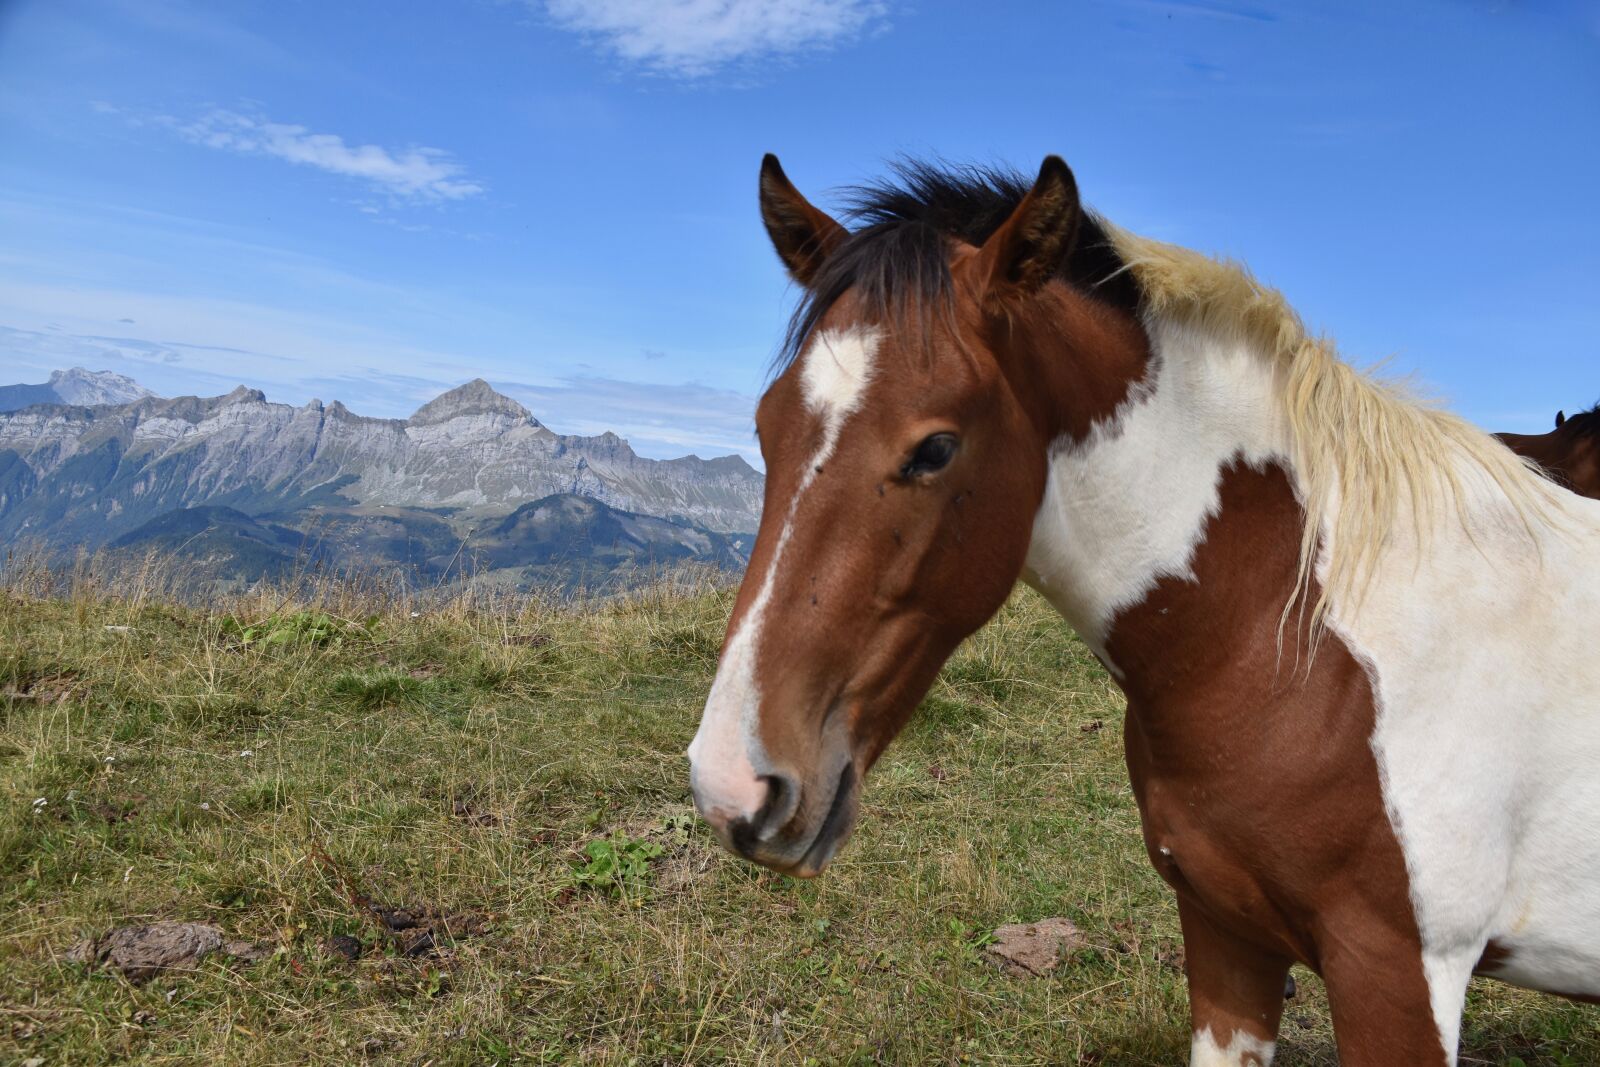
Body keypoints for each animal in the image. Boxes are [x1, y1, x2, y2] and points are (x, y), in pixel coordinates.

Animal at [686, 154, 1600, 1065]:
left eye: (934, 448)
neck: (1298, 644)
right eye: (766, 428)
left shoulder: (1399, 974)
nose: (733, 780)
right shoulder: (1227, 934)